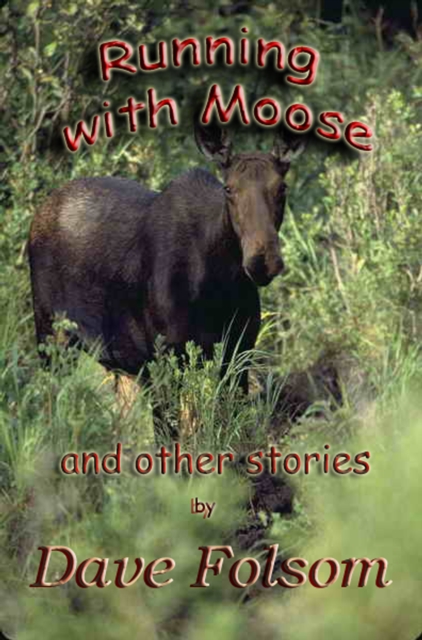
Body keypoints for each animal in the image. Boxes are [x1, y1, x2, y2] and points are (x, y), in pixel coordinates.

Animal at [28, 124, 304, 441]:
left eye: (282, 187)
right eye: (229, 188)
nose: (263, 260)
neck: (218, 286)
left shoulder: (238, 353)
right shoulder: (163, 360)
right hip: (51, 337)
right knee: (51, 407)